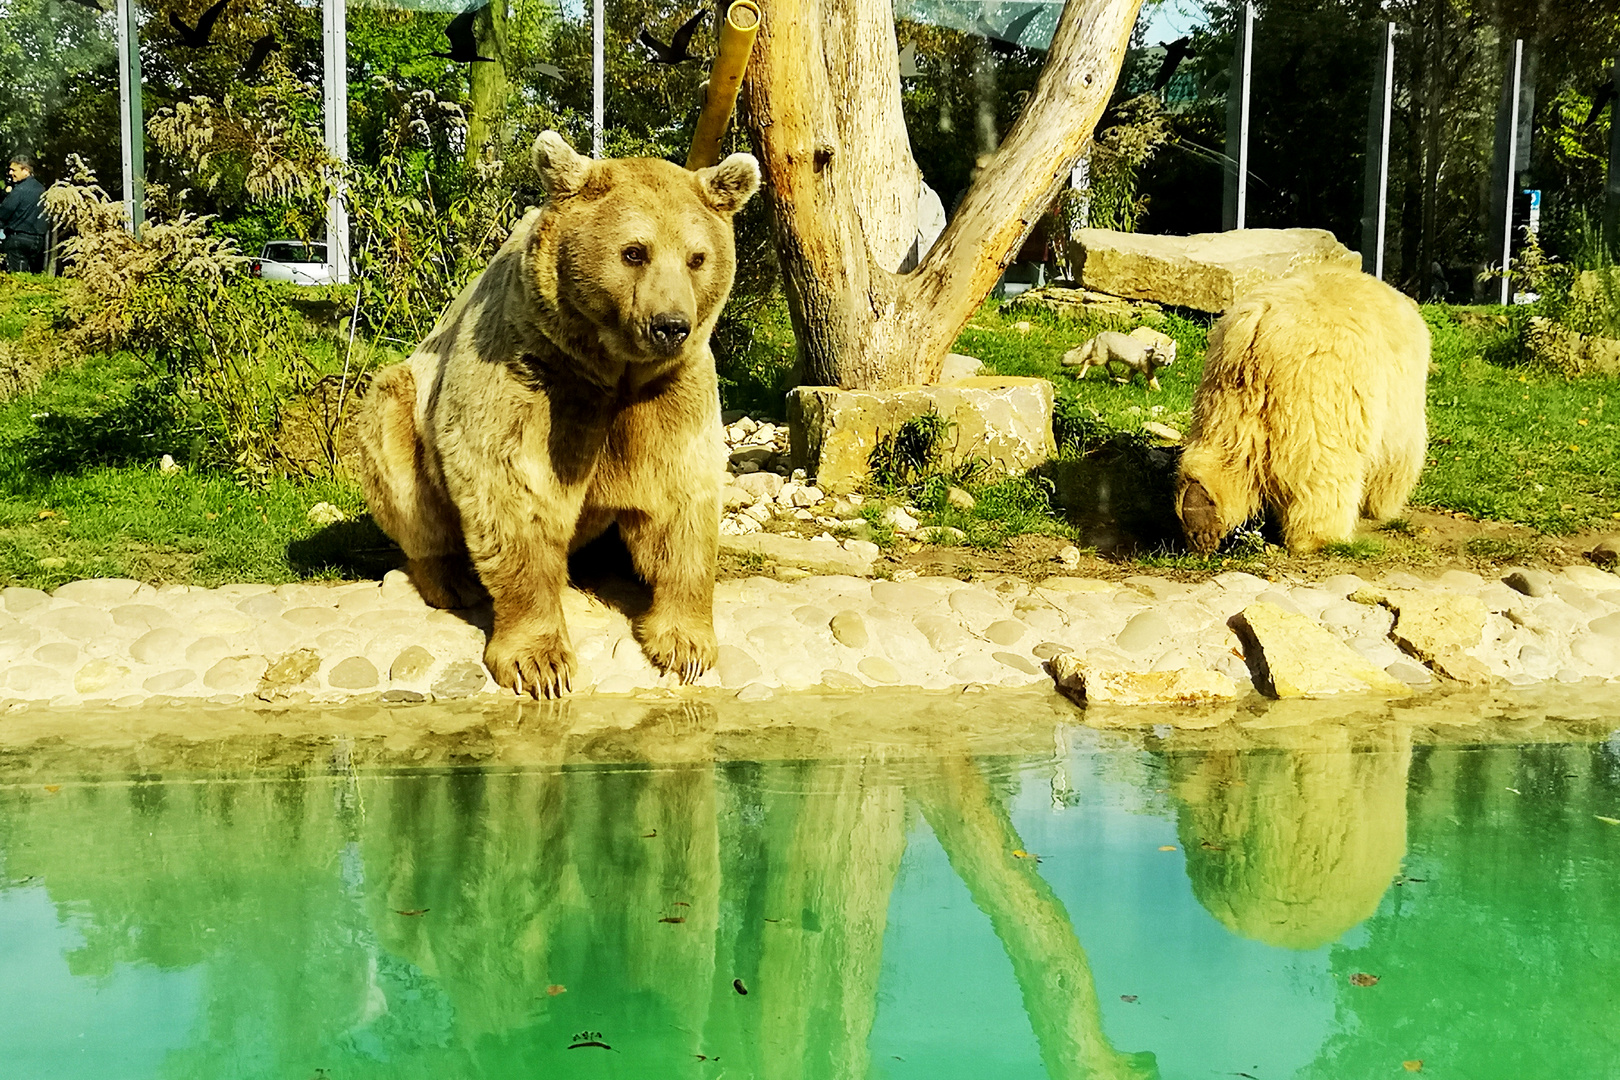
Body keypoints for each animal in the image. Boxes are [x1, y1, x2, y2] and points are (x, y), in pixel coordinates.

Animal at [358, 128, 761, 702]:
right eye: (634, 252)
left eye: (697, 257)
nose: (670, 325)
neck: (613, 370)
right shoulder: (534, 371)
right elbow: (512, 487)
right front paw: (541, 662)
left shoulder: (670, 390)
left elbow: (681, 492)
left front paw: (686, 645)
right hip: (403, 410)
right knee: (400, 468)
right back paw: (449, 578)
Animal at [1179, 262, 1432, 553]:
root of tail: (1257, 327)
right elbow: (1399, 454)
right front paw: (1382, 506)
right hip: (1320, 391)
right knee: (1322, 469)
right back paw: (1320, 537)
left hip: (1227, 392)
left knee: (1224, 453)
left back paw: (1199, 515)